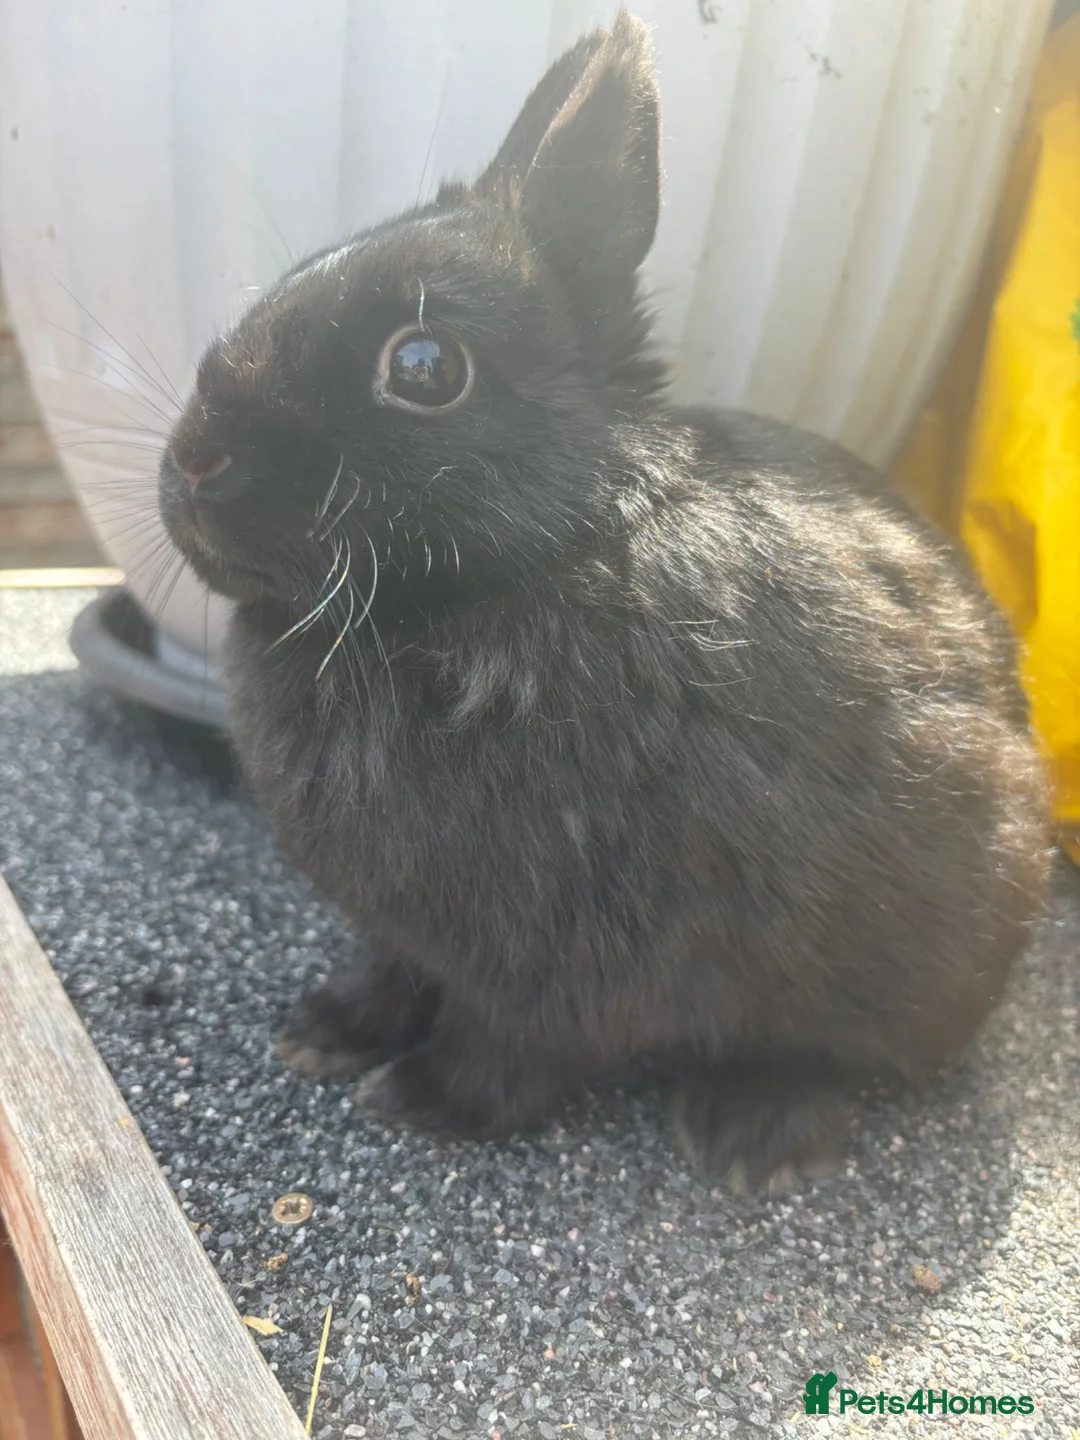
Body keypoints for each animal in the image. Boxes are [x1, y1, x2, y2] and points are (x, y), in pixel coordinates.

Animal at [158, 10, 1049, 1191]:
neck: (545, 553)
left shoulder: (570, 947)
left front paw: (424, 1099)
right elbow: (392, 969)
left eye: (425, 366)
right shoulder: (406, 928)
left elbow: (519, 1044)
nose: (193, 459)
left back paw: (749, 1129)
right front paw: (325, 1032)